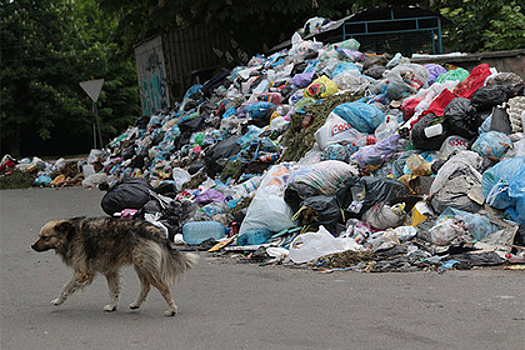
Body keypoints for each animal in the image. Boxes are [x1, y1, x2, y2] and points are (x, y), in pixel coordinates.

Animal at [31, 217, 199, 316]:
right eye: (40, 236)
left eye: (45, 237)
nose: (32, 246)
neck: (70, 235)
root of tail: (152, 229)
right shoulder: (110, 271)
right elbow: (114, 291)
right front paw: (112, 306)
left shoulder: (82, 273)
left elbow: (65, 287)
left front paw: (58, 301)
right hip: (140, 265)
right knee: (146, 287)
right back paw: (136, 304)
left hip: (145, 266)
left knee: (163, 288)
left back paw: (172, 309)